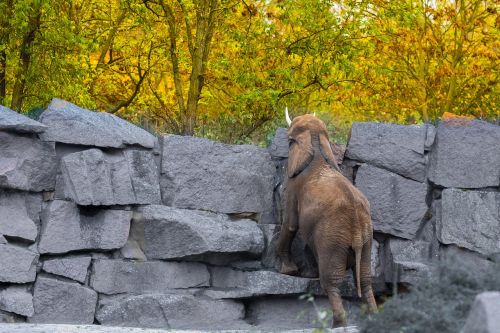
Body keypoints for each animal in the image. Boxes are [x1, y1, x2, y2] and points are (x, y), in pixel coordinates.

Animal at [276, 108, 376, 324]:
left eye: (289, 141)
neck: (316, 145)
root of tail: (356, 231)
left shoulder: (294, 185)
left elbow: (291, 224)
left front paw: (289, 271)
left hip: (333, 239)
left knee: (331, 281)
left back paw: (338, 323)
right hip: (366, 238)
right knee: (365, 279)